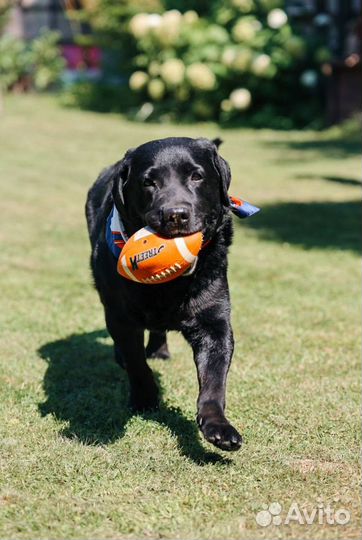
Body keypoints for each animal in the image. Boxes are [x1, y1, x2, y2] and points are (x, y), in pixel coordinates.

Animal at [86, 136, 242, 452]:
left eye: (196, 176)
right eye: (148, 182)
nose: (176, 215)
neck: (173, 283)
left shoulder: (214, 320)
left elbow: (214, 380)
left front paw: (218, 426)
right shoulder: (122, 317)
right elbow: (137, 364)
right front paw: (145, 399)